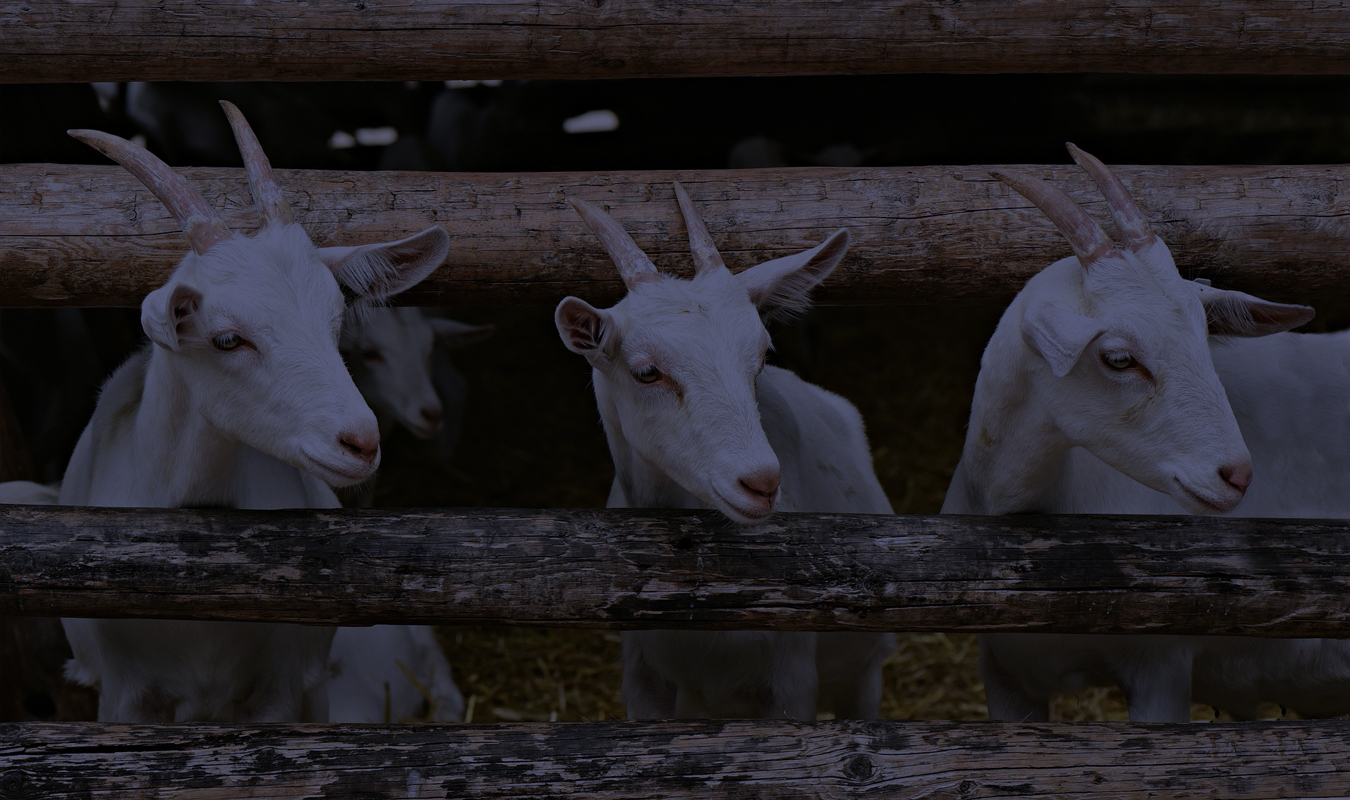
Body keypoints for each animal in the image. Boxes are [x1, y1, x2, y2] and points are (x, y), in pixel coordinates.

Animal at [558, 183, 896, 723]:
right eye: (646, 372)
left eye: (762, 354)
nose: (761, 483)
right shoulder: (644, 679)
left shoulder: (791, 681)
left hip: (864, 671)